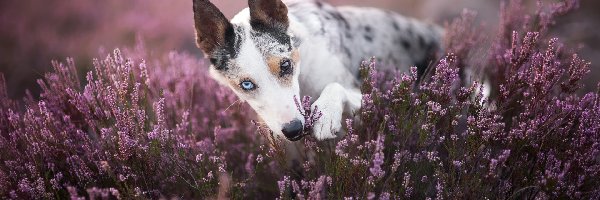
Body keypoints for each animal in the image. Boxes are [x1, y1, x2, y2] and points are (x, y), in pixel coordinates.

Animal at [195, 0, 442, 141]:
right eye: (246, 84)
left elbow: (335, 86)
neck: (302, 75)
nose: (294, 130)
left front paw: (326, 115)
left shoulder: (372, 97)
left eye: (285, 65)